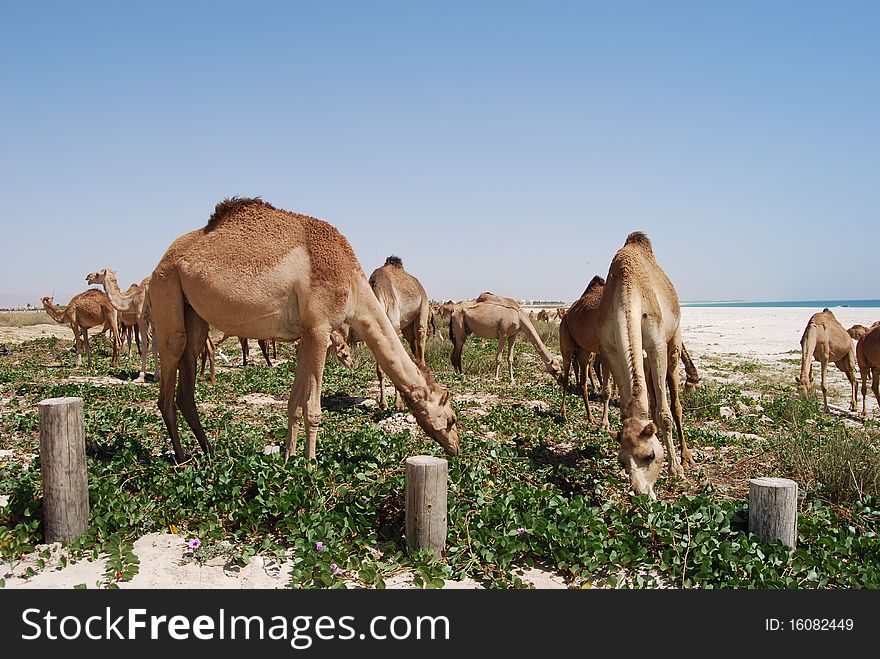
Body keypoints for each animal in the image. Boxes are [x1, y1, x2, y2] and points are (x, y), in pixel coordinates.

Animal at [366, 255, 432, 410]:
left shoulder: (393, 327)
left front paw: (398, 404)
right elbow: (381, 368)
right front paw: (383, 404)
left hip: (423, 309)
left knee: (420, 341)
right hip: (406, 327)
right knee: (413, 345)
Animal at [600, 232, 696, 500]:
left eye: (650, 455)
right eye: (621, 461)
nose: (641, 493)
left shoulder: (656, 344)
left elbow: (664, 413)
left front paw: (675, 469)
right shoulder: (610, 348)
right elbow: (626, 407)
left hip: (673, 341)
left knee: (674, 399)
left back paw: (686, 458)